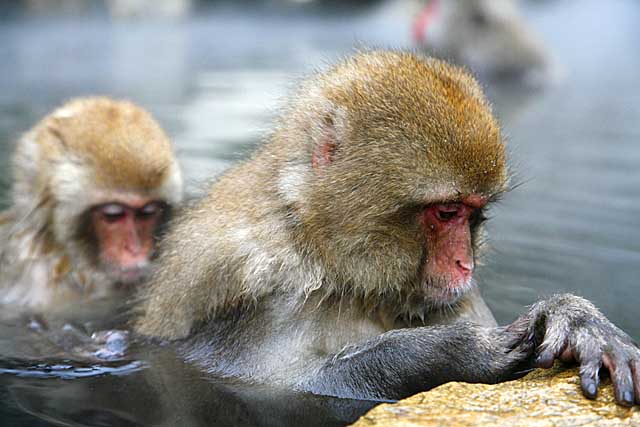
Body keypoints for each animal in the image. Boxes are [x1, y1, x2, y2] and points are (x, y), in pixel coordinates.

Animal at [135, 51, 640, 406]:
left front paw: (573, 318)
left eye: (473, 213)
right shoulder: (261, 284)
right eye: (446, 212)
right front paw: (455, 351)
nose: (465, 264)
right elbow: (281, 384)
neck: (331, 260)